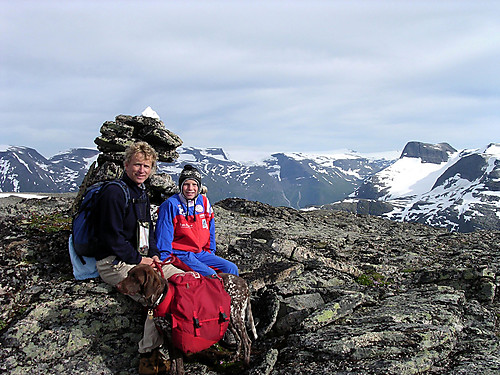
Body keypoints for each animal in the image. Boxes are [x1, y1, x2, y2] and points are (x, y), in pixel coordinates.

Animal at [116, 266, 258, 374]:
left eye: (135, 277)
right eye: (128, 274)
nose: (117, 285)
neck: (162, 298)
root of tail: (244, 283)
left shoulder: (175, 336)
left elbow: (178, 363)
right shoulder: (167, 337)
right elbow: (173, 360)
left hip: (236, 317)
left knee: (247, 341)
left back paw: (245, 364)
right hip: (229, 320)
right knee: (239, 339)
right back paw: (235, 357)